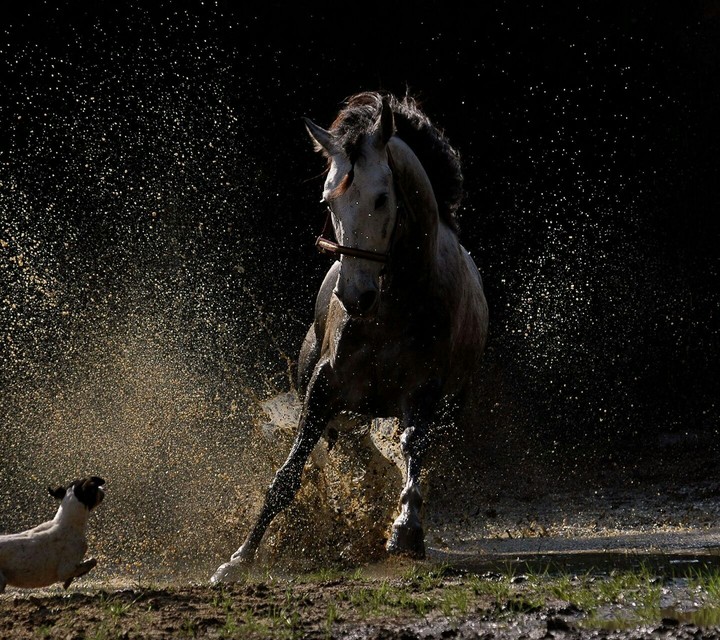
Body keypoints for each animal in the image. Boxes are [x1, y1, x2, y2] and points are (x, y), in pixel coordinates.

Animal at [212, 90, 488, 582]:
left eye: (382, 198)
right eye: (328, 202)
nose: (354, 295)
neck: (391, 306)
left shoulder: (424, 391)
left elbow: (412, 450)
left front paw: (406, 532)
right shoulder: (324, 386)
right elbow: (288, 474)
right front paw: (240, 558)